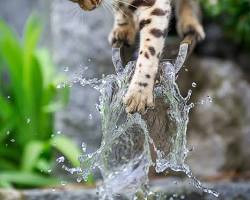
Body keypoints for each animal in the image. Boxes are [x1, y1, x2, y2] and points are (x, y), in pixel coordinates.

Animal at [69, 0, 205, 113]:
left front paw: (139, 94)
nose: (89, 7)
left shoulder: (154, 7)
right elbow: (120, 7)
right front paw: (123, 28)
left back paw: (190, 24)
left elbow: (150, 48)